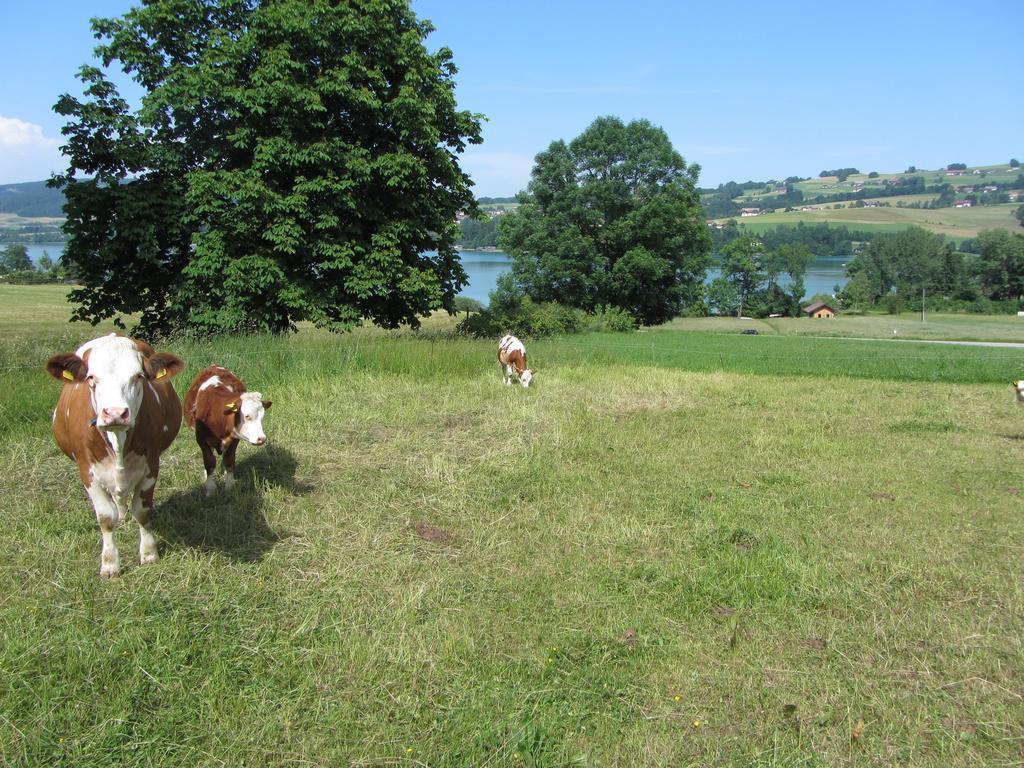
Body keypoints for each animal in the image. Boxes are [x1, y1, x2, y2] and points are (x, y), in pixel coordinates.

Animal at [46, 333, 185, 581]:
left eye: (138, 376)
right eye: (91, 377)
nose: (115, 413)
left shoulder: (151, 466)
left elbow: (142, 511)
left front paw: (149, 553)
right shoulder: (87, 472)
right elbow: (106, 518)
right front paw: (110, 564)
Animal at [183, 368, 272, 499]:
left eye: (262, 416)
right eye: (247, 416)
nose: (261, 438)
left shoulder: (234, 439)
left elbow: (229, 460)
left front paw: (229, 485)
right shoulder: (201, 439)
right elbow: (209, 462)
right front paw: (210, 488)